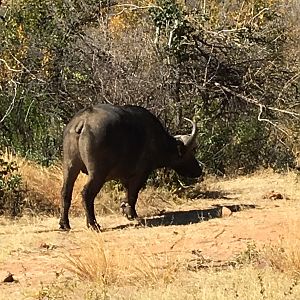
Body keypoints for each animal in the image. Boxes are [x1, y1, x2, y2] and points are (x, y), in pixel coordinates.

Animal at [59, 104, 203, 231]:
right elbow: (133, 194)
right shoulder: (141, 173)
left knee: (65, 192)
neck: (157, 139)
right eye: (189, 153)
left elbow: (127, 192)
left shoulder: (125, 176)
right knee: (87, 193)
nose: (199, 170)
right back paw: (93, 224)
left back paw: (64, 224)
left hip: (69, 166)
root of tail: (82, 121)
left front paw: (124, 208)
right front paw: (131, 214)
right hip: (97, 173)